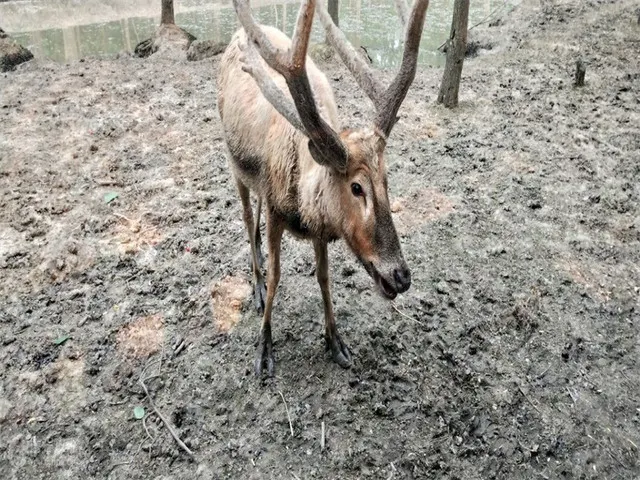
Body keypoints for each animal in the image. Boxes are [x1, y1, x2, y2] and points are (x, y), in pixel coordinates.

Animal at [216, 0, 430, 376]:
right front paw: (264, 347)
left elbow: (325, 278)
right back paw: (255, 282)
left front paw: (335, 340)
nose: (401, 276)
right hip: (233, 163)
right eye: (356, 187)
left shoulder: (319, 228)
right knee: (246, 214)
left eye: (386, 179)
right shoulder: (276, 211)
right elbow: (277, 277)